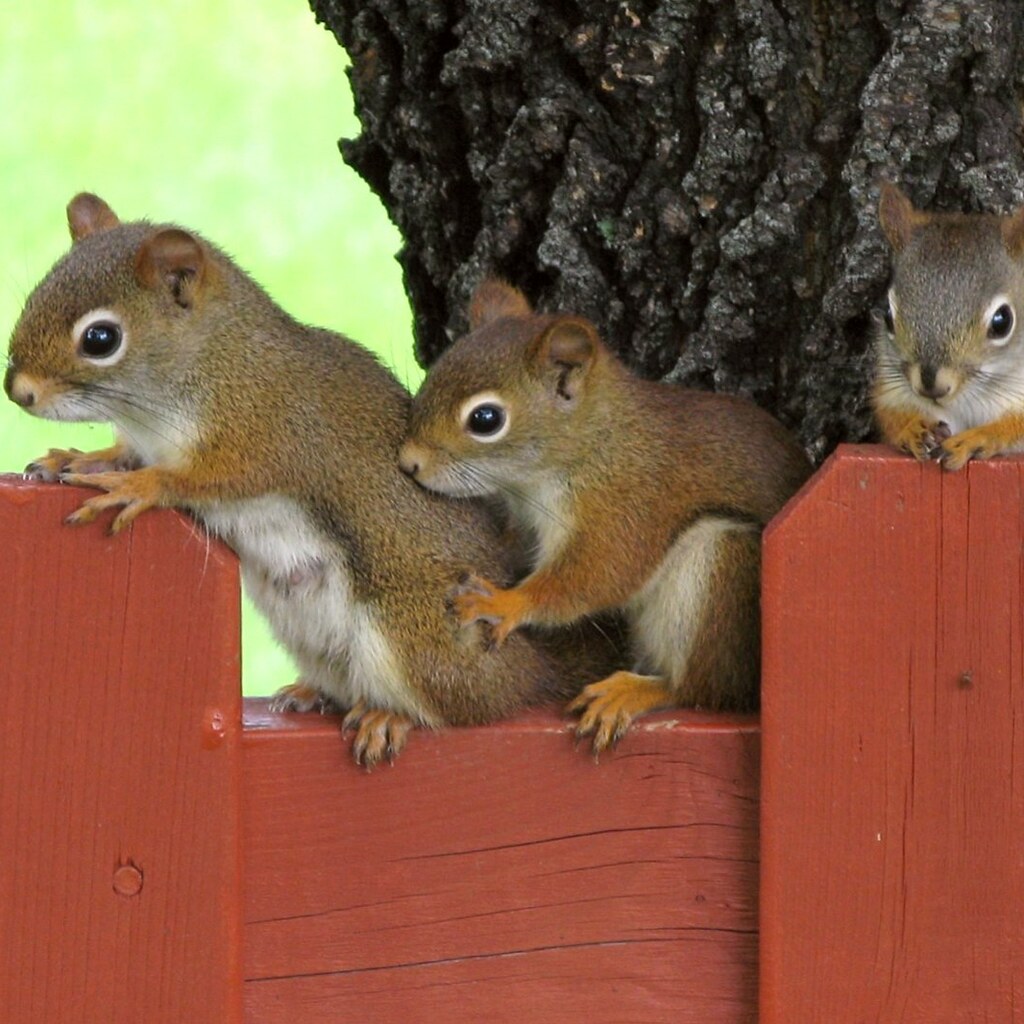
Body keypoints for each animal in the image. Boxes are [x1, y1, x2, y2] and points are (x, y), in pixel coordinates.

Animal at [4, 194, 621, 767]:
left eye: (100, 339)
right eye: (34, 296)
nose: (19, 391)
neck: (207, 363)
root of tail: (528, 671)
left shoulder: (266, 433)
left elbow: (208, 478)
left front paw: (137, 487)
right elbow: (125, 453)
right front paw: (78, 458)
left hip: (410, 636)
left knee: (461, 709)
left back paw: (390, 716)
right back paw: (312, 693)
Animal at [398, 279, 812, 753]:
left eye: (486, 419)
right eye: (433, 375)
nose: (408, 462)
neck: (592, 442)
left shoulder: (626, 504)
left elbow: (596, 575)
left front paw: (504, 602)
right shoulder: (529, 518)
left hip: (724, 564)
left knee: (700, 690)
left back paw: (635, 691)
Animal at [873, 181, 1024, 470]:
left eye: (1003, 321)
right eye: (887, 314)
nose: (931, 386)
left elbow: (1014, 426)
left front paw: (978, 437)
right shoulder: (891, 389)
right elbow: (893, 415)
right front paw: (912, 428)